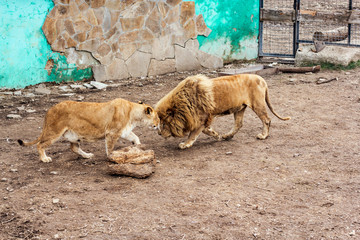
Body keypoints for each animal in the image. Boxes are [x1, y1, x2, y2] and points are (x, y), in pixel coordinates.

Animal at [17, 98, 159, 163]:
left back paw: (87, 155)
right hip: (54, 131)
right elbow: (110, 148)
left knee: (74, 148)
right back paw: (44, 159)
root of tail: (49, 110)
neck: (133, 114)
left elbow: (135, 137)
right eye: (157, 117)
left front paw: (138, 146)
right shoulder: (112, 133)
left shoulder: (124, 131)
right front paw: (112, 157)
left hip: (73, 135)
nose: (158, 124)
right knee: (40, 144)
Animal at [156, 74, 292, 149]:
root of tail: (262, 79)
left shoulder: (202, 118)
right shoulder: (204, 119)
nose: (158, 133)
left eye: (164, 124)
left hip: (257, 104)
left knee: (266, 120)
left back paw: (263, 136)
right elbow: (205, 130)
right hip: (240, 108)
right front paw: (217, 135)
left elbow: (193, 134)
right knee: (238, 124)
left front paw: (185, 144)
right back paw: (227, 136)